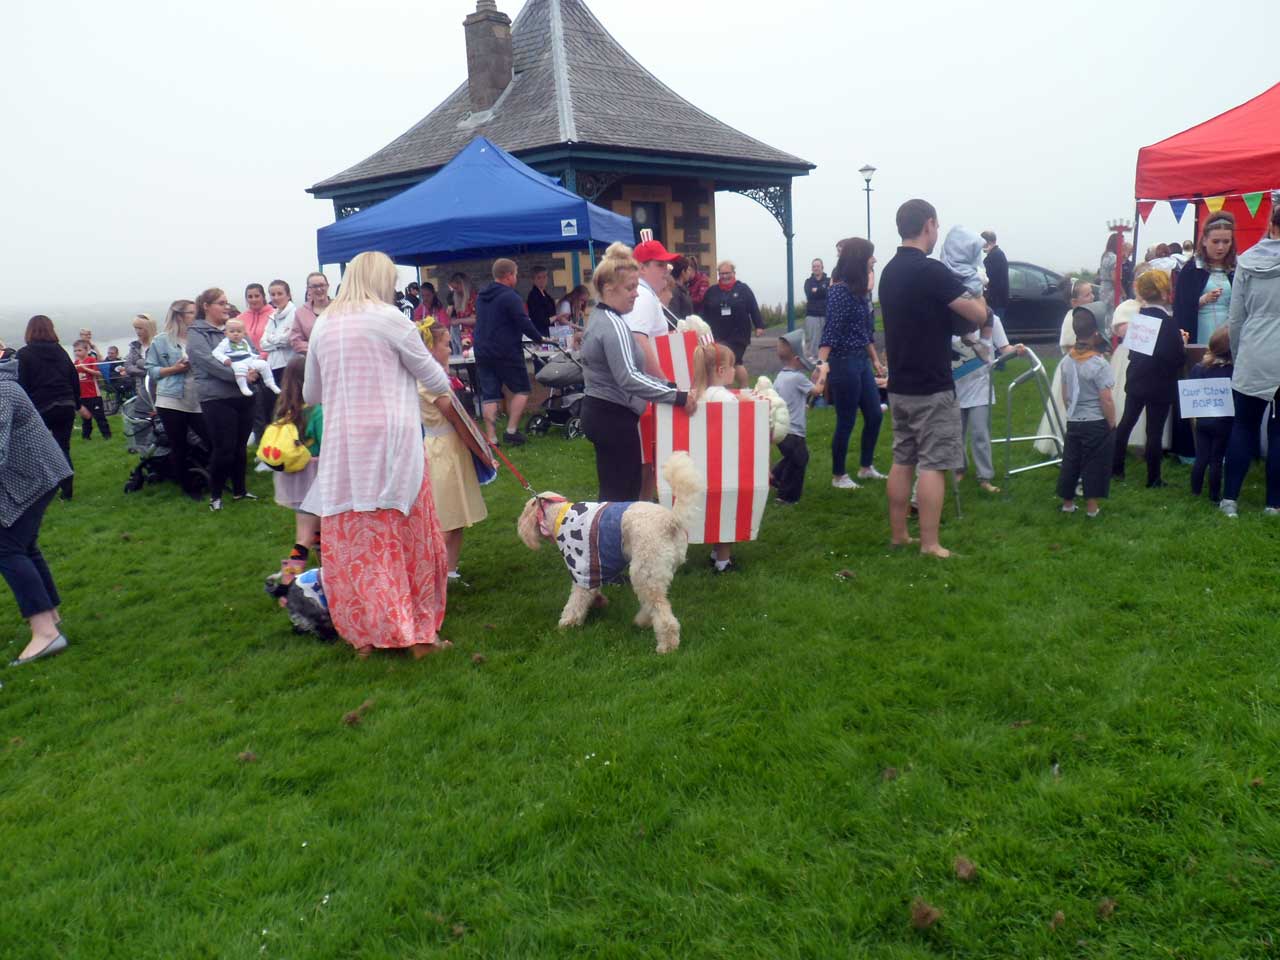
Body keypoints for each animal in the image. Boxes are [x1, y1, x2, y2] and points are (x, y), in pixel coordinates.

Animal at [517, 453, 706, 655]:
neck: (558, 515)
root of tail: (671, 520)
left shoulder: (581, 568)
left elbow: (576, 601)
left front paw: (567, 624)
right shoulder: (594, 566)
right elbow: (593, 589)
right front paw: (598, 602)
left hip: (644, 570)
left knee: (662, 611)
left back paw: (667, 646)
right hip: (654, 572)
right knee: (654, 602)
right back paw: (643, 621)